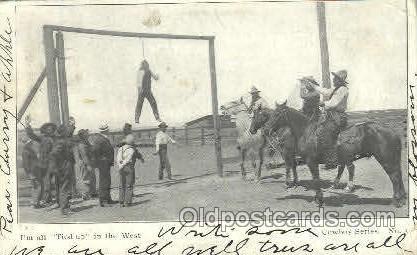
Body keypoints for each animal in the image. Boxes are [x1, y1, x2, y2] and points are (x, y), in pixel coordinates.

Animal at [249, 100, 404, 208]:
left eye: (277, 114)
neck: (306, 132)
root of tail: (392, 131)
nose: (265, 130)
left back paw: (395, 200)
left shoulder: (309, 161)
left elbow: (314, 179)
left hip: (385, 160)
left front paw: (318, 199)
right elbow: (299, 170)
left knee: (394, 177)